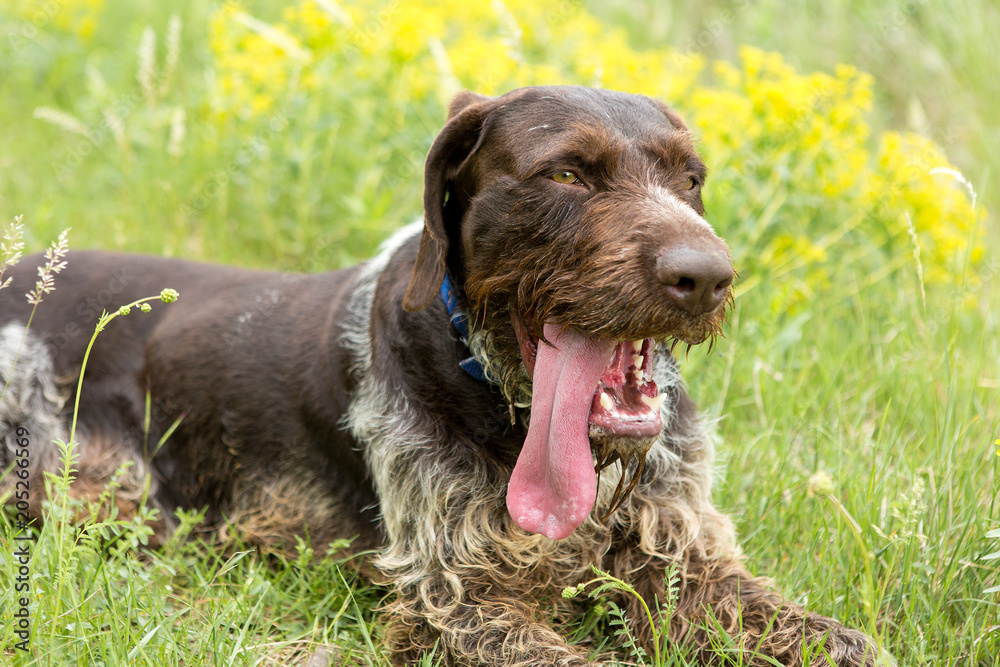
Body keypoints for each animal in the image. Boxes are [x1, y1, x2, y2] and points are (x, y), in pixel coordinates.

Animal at [0, 86, 876, 664]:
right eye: (566, 174)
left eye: (690, 178)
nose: (707, 276)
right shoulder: (454, 595)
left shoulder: (686, 557)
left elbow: (833, 639)